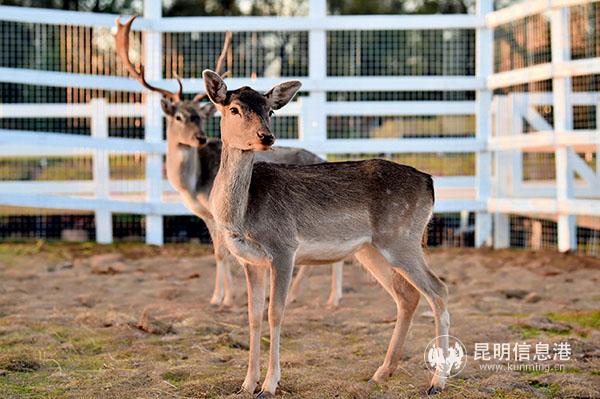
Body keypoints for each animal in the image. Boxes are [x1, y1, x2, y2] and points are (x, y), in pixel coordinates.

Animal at [115, 15, 344, 308]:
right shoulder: (207, 217)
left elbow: (222, 254)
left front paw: (221, 298)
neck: (193, 186)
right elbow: (221, 254)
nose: (200, 138)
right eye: (179, 117)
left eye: (201, 117)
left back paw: (328, 298)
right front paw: (223, 295)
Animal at [202, 70, 450, 398]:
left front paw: (269, 385)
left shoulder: (284, 247)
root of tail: (430, 182)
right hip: (371, 249)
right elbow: (253, 316)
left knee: (439, 290)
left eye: (270, 111)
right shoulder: (249, 261)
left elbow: (275, 313)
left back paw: (437, 381)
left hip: (403, 239)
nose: (266, 137)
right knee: (407, 295)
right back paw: (381, 373)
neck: (242, 216)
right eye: (234, 109)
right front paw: (246, 385)